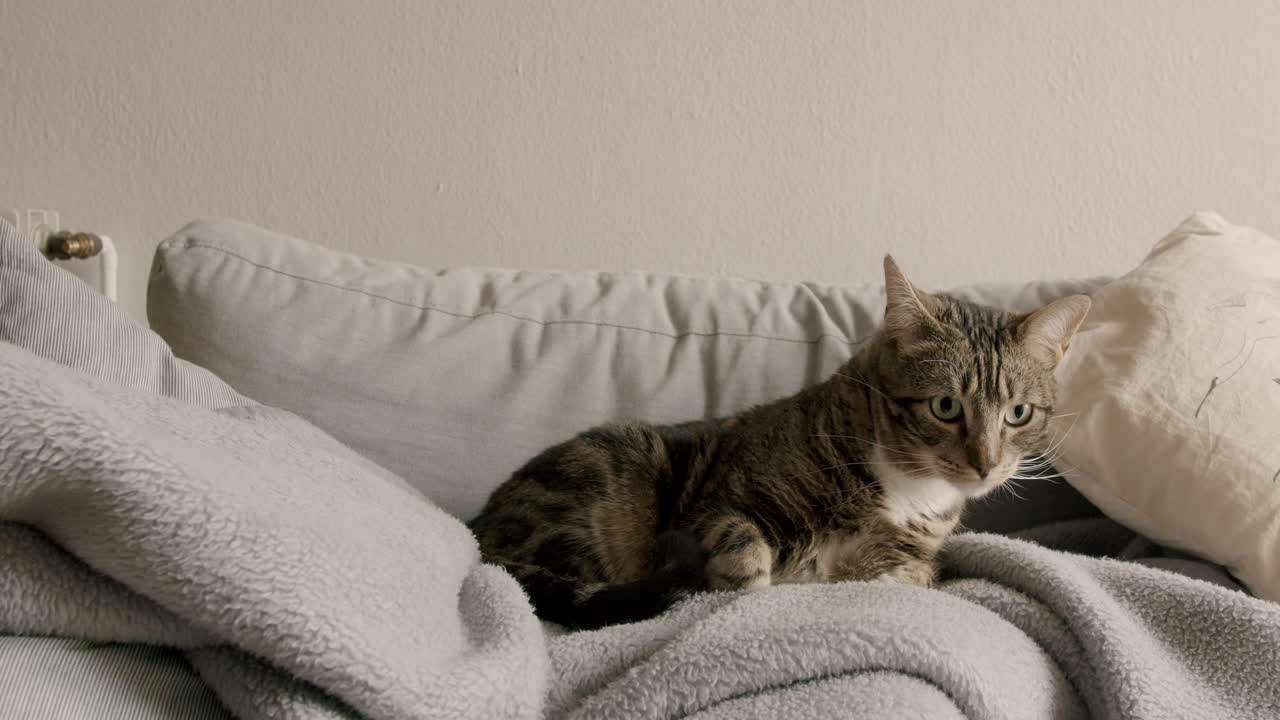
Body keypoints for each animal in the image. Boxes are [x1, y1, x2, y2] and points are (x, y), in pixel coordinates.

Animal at [471, 257, 1090, 627]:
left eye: (1018, 413)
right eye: (945, 406)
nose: (986, 465)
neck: (906, 486)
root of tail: (481, 529)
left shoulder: (906, 557)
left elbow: (910, 575)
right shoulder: (713, 503)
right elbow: (744, 544)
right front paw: (744, 580)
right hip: (607, 474)